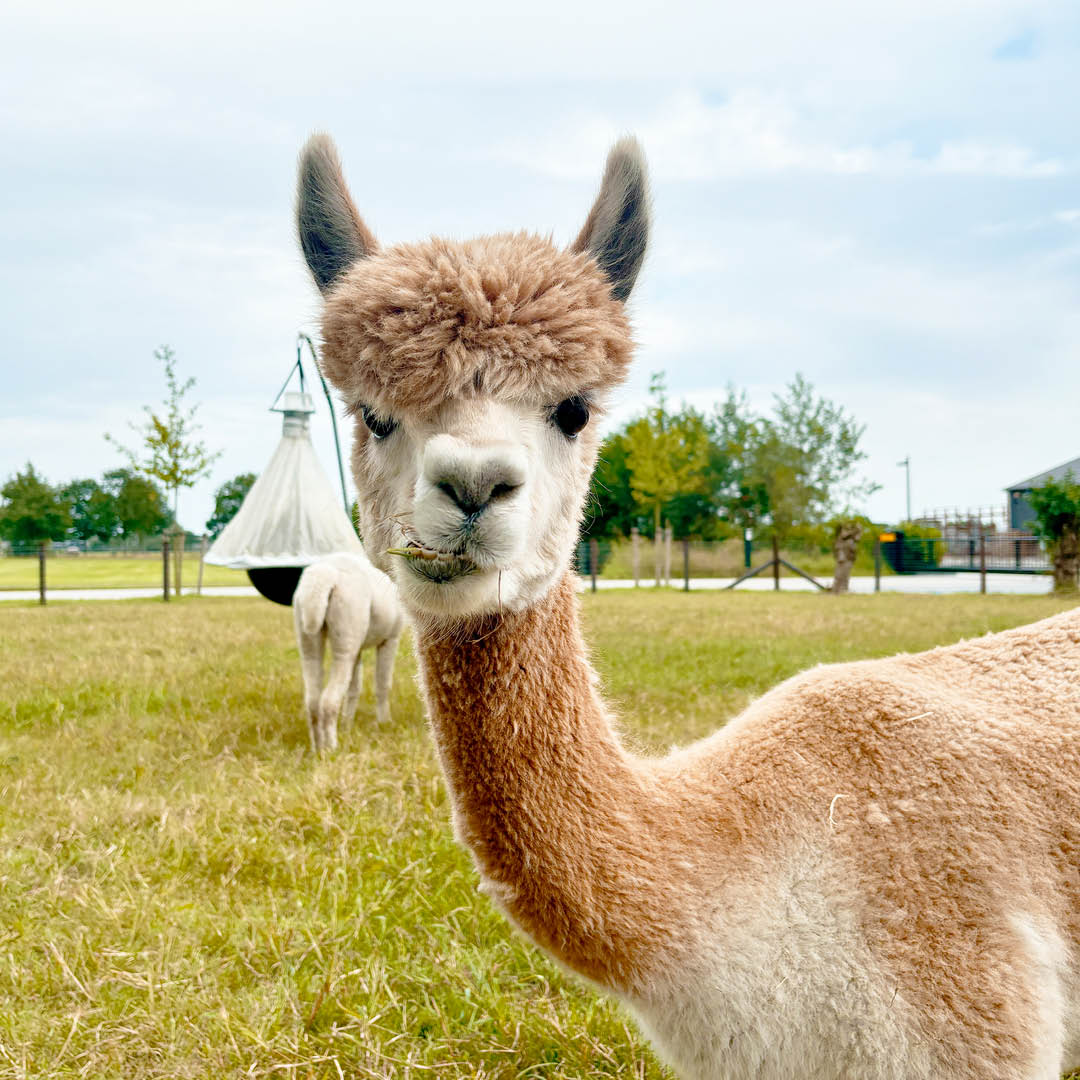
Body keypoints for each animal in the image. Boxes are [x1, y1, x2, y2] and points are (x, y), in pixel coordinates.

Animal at [293, 551, 403, 752]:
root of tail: (323, 576)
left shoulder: (358, 649)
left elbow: (354, 687)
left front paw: (347, 724)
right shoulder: (390, 639)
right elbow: (382, 684)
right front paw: (385, 722)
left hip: (310, 635)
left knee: (313, 700)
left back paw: (317, 747)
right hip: (346, 633)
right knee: (328, 700)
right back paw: (331, 748)